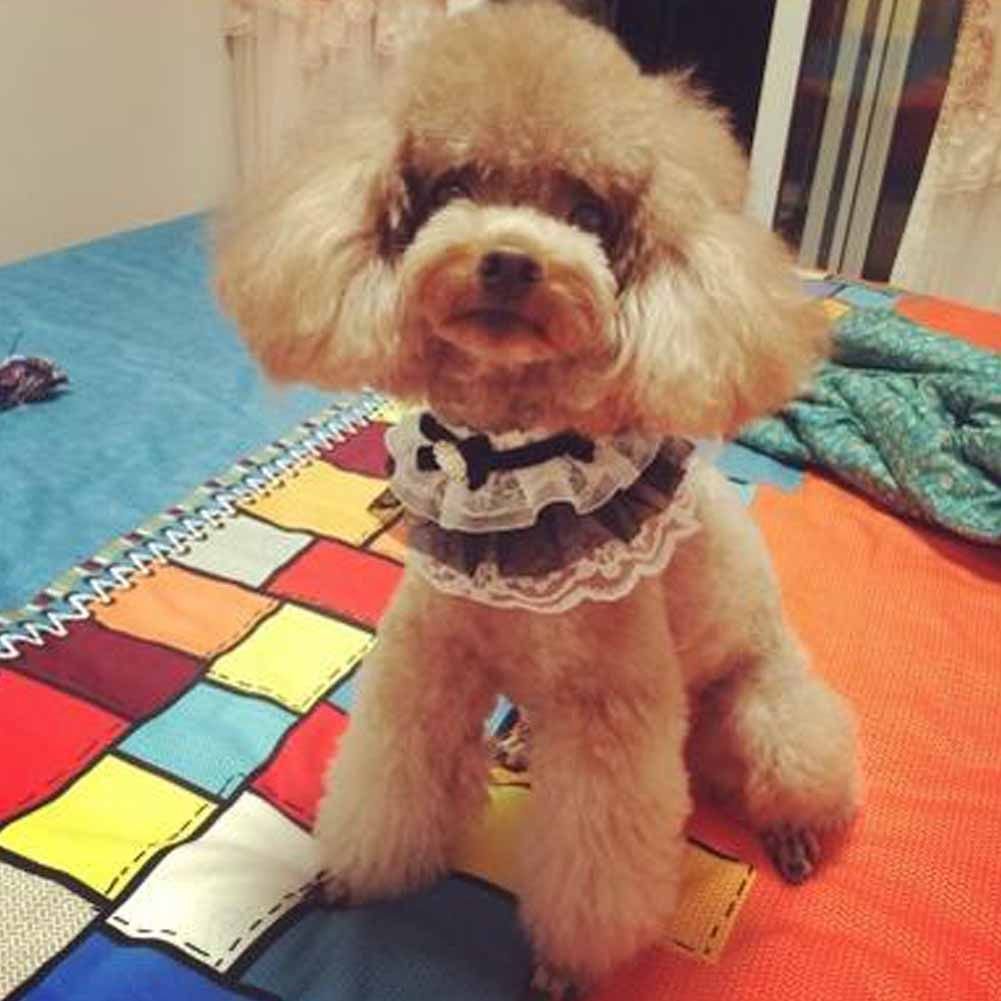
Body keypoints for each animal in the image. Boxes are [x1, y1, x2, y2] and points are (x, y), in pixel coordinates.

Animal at [217, 2, 860, 991]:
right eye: (451, 185)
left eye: (590, 211)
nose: (511, 262)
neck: (510, 458)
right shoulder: (427, 666)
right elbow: (392, 779)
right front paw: (356, 875)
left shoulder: (609, 718)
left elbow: (594, 858)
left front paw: (570, 964)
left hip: (765, 715)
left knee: (799, 771)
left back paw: (792, 833)